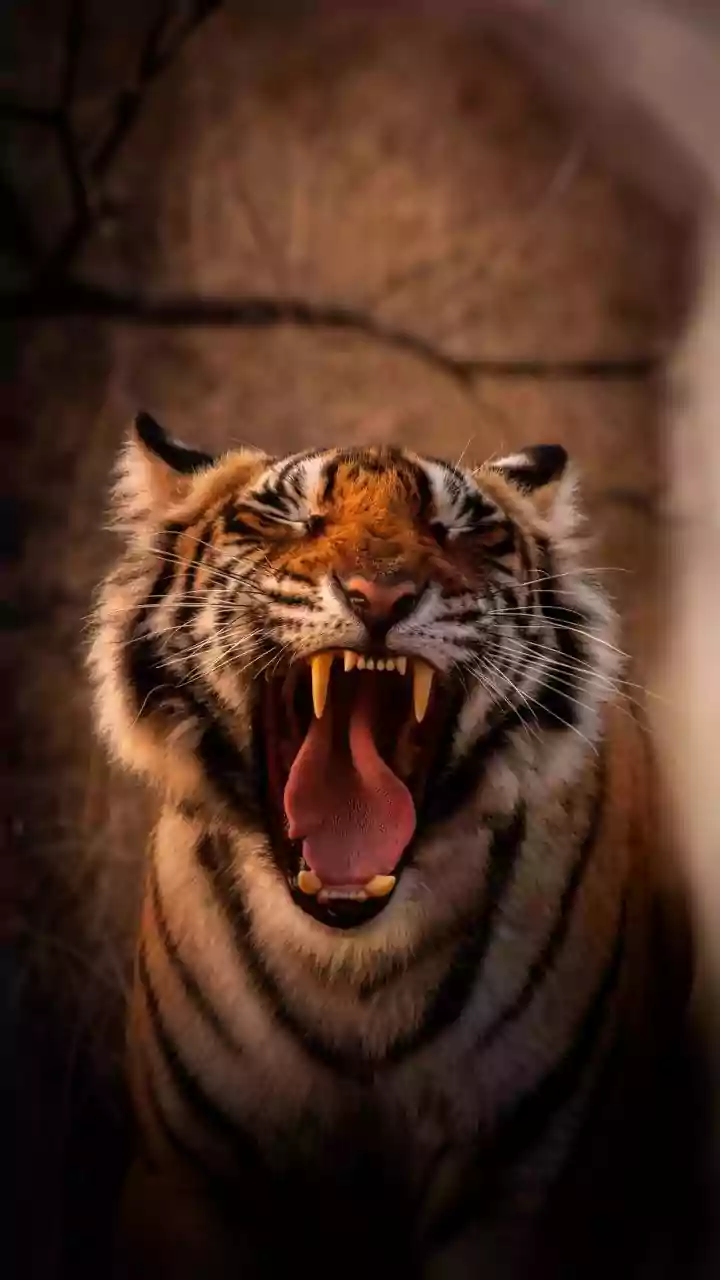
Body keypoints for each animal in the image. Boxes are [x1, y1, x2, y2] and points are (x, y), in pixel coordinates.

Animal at [88, 412, 693, 1280]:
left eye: (462, 530)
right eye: (285, 519)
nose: (380, 596)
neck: (350, 964)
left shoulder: (520, 1188)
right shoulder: (192, 1181)